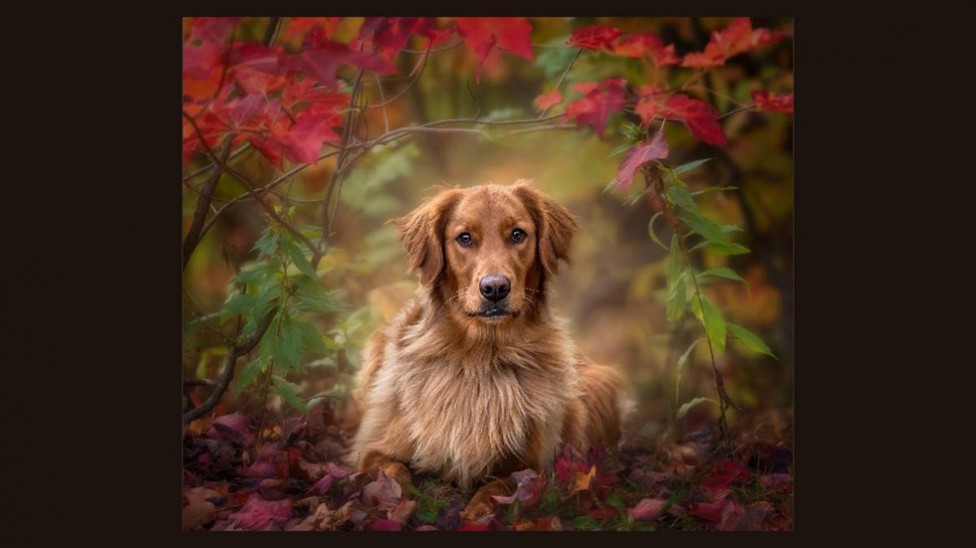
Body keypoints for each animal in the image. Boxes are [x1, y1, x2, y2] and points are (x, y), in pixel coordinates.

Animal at [346, 180, 628, 520]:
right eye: (464, 238)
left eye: (518, 234)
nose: (494, 288)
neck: (482, 356)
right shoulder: (372, 449)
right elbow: (395, 472)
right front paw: (399, 504)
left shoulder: (536, 467)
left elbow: (500, 487)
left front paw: (476, 511)